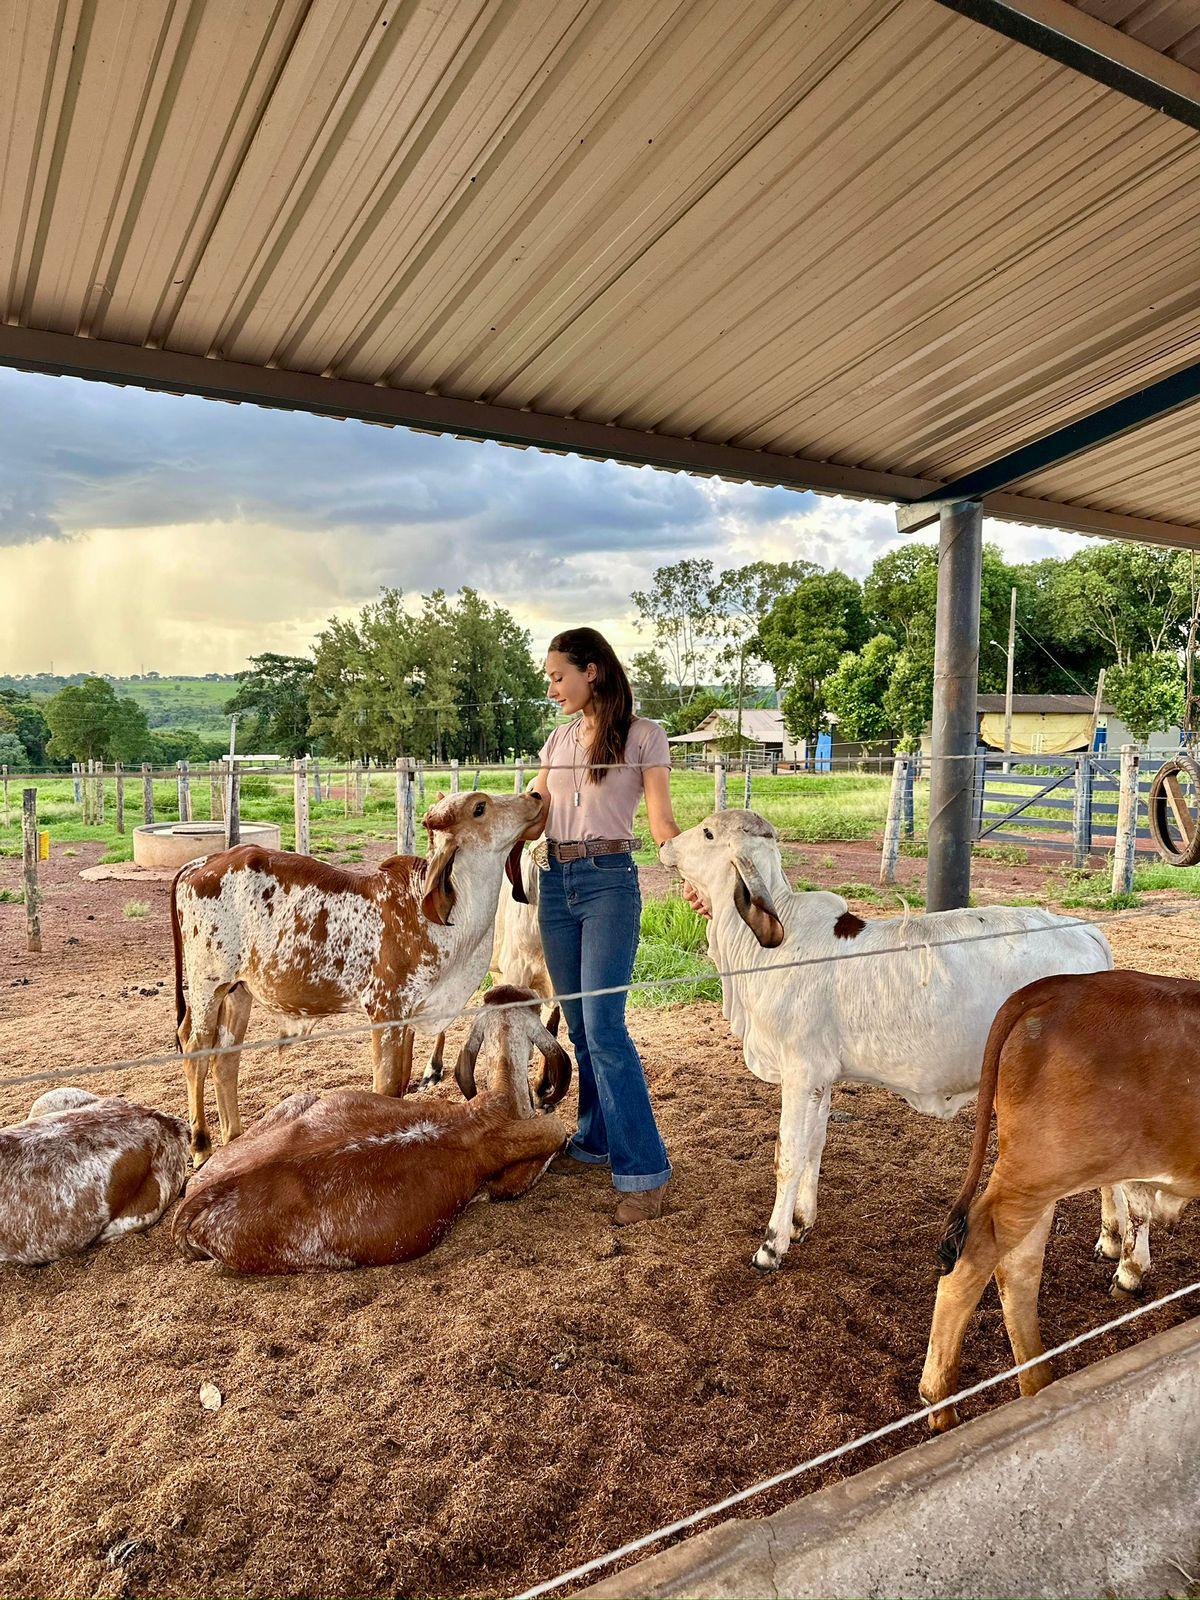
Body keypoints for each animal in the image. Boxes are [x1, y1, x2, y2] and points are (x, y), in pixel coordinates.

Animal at [171, 787, 547, 1164]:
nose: (535, 795)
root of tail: (197, 864)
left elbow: (400, 1084)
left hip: (239, 990)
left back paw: (234, 1138)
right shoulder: (385, 1012)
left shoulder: (408, 1016)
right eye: (480, 807)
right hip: (208, 985)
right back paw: (201, 1146)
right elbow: (385, 1087)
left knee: (225, 1057)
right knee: (195, 1049)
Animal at [659, 812, 1120, 1273]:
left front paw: (772, 1245)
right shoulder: (821, 1078)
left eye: (707, 833)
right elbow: (814, 1146)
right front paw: (801, 1222)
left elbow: (788, 1156)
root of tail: (1088, 935)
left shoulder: (800, 1072)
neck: (767, 950)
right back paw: (1112, 1243)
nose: (663, 844)